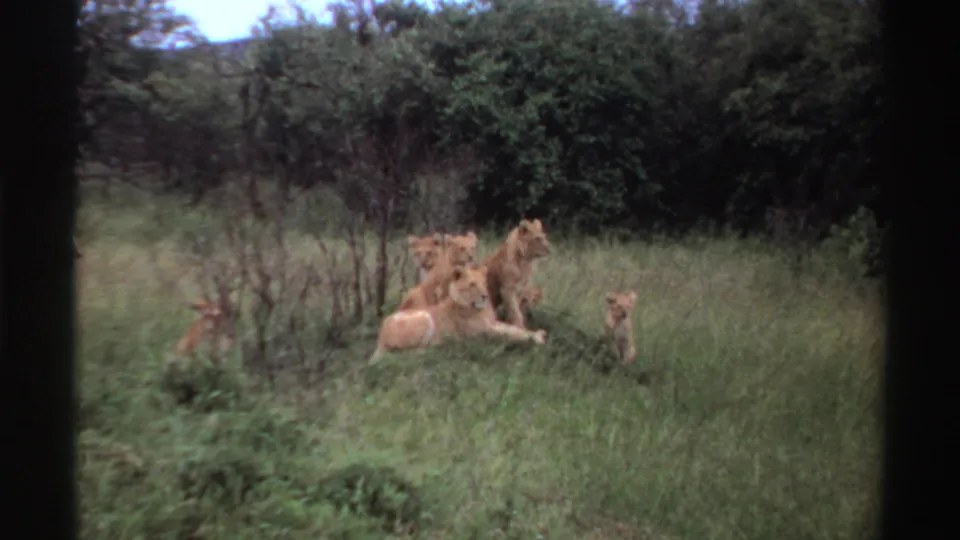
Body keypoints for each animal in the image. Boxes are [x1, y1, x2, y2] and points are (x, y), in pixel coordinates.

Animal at [369, 264, 547, 363]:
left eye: (483, 283)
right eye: (472, 284)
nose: (485, 295)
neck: (480, 309)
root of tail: (380, 337)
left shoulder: (493, 323)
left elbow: (514, 329)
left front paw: (537, 333)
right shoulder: (482, 332)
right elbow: (510, 334)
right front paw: (535, 339)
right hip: (424, 318)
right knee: (411, 351)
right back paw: (440, 346)